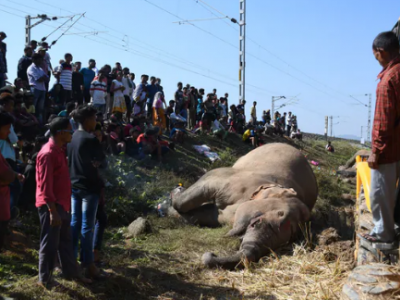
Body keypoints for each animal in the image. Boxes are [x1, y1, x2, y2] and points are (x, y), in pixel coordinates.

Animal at [170, 143, 318, 270]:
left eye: (291, 238)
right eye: (280, 215)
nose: (212, 253)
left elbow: (206, 214)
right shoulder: (233, 179)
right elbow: (206, 184)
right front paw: (176, 192)